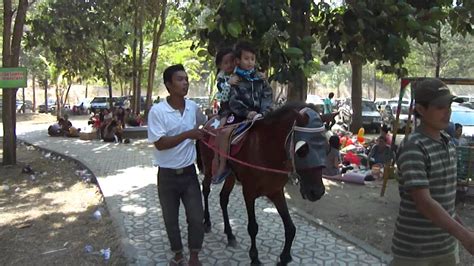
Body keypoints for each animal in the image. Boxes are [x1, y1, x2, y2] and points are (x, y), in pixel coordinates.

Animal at [196, 103, 326, 264]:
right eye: (302, 150)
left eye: (326, 147)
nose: (317, 192)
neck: (265, 150)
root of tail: (207, 123)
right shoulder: (248, 192)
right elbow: (253, 227)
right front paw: (254, 257)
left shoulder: (276, 191)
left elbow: (290, 227)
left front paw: (284, 257)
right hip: (209, 168)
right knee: (206, 189)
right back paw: (207, 222)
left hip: (230, 175)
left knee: (223, 198)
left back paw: (230, 234)